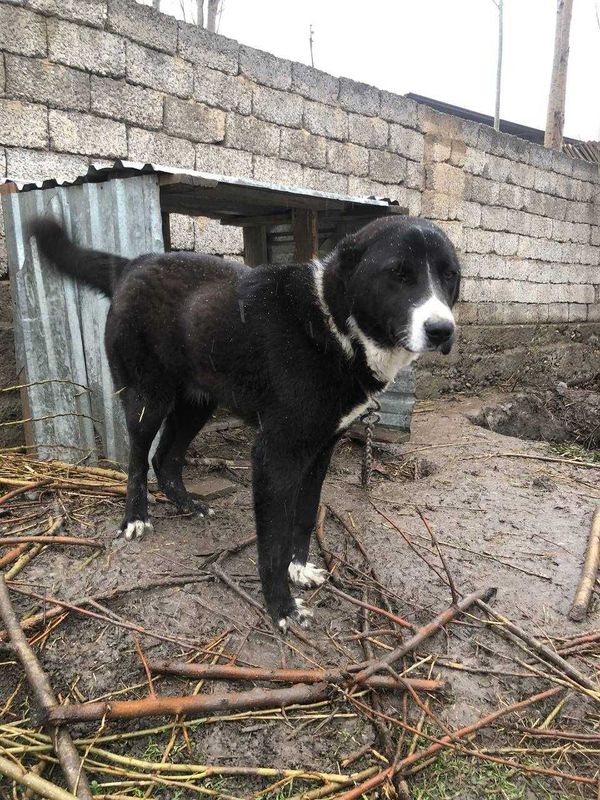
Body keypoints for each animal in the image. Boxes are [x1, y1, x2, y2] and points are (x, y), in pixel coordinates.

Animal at [30, 217, 460, 632]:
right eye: (398, 273)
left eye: (450, 275)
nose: (443, 330)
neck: (331, 323)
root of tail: (134, 264)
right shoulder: (274, 454)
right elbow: (272, 542)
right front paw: (282, 607)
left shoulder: (321, 449)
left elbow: (304, 516)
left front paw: (299, 569)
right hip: (147, 399)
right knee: (137, 460)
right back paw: (135, 518)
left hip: (197, 403)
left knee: (165, 459)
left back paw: (189, 505)